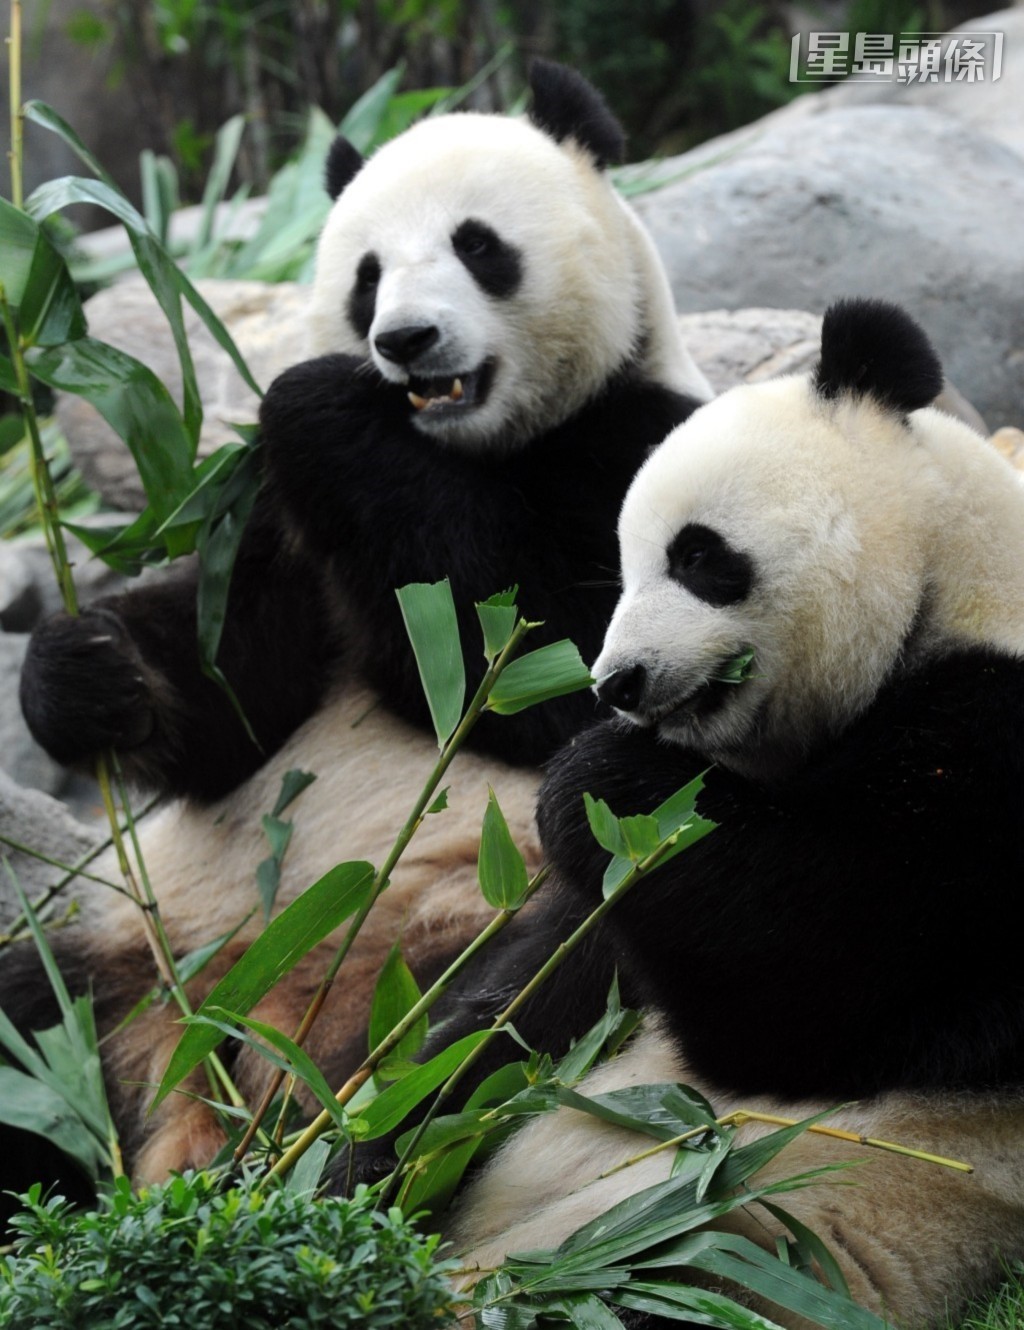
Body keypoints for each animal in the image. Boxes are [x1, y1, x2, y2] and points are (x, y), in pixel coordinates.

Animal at [1, 59, 702, 1207]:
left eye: (477, 245)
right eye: (368, 276)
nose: (403, 342)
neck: (470, 446)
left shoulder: (633, 452)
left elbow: (531, 666)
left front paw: (321, 400)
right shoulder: (277, 525)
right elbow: (236, 695)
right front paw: (83, 673)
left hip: (498, 907)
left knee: (528, 991)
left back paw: (348, 1158)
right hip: (140, 960)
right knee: (30, 1010)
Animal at [364, 301, 1021, 1330]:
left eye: (699, 556)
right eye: (623, 569)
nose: (617, 684)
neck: (950, 577)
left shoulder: (997, 758)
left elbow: (820, 986)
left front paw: (596, 777)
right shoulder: (609, 920)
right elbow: (510, 1013)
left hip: (779, 1227)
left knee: (657, 1275)